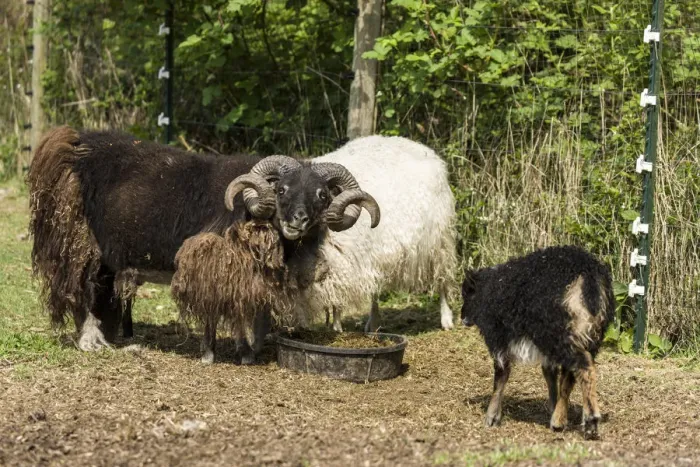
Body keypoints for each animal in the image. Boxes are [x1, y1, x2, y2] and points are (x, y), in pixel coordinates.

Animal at [27, 127, 379, 353]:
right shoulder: (215, 261)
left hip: (106, 259)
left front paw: (253, 348)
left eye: (322, 195)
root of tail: (73, 143)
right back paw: (91, 343)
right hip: (79, 242)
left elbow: (258, 311)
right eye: (281, 190)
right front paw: (222, 352)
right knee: (80, 293)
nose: (298, 221)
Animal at [296, 135, 457, 332]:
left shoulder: (345, 257)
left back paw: (446, 319)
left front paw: (337, 327)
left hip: (440, 240)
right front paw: (335, 324)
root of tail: (422, 148)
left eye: (320, 194)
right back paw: (373, 324)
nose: (298, 219)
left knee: (442, 278)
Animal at [459, 245, 615, 439]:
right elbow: (550, 374)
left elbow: (501, 377)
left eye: (468, 294)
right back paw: (560, 420)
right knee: (571, 375)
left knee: (584, 366)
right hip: (585, 336)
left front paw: (492, 417)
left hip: (557, 332)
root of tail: (589, 275)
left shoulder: (498, 339)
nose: (462, 318)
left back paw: (591, 421)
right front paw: (553, 409)